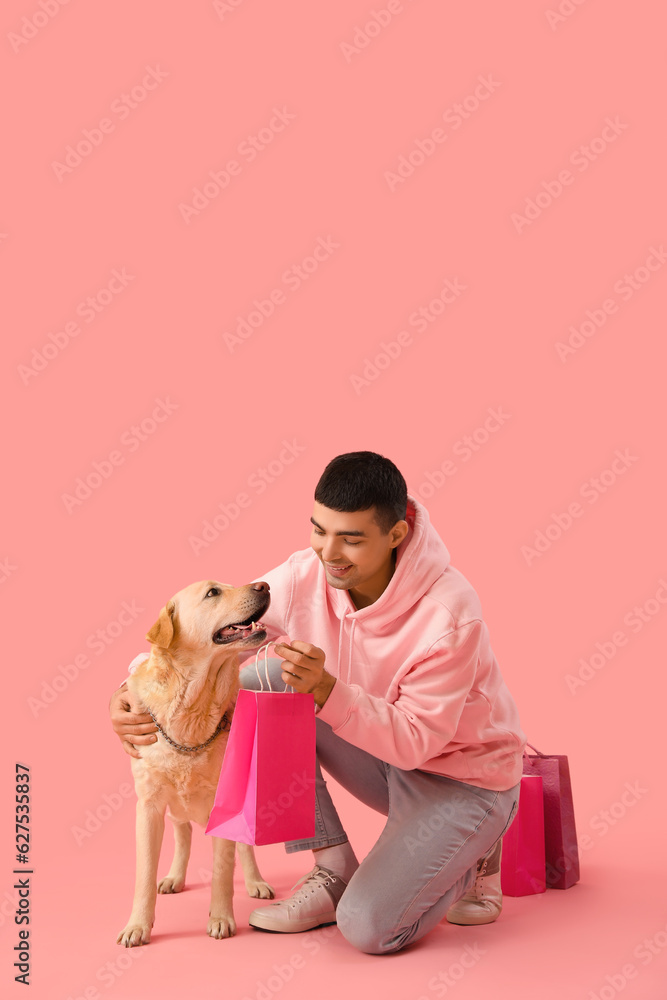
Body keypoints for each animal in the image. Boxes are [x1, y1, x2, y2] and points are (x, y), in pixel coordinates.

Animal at [118, 580, 276, 944]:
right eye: (213, 592)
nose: (264, 584)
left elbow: (222, 869)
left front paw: (220, 917)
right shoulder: (148, 806)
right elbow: (144, 874)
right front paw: (137, 926)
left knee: (243, 848)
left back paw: (255, 881)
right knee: (183, 834)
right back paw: (175, 877)